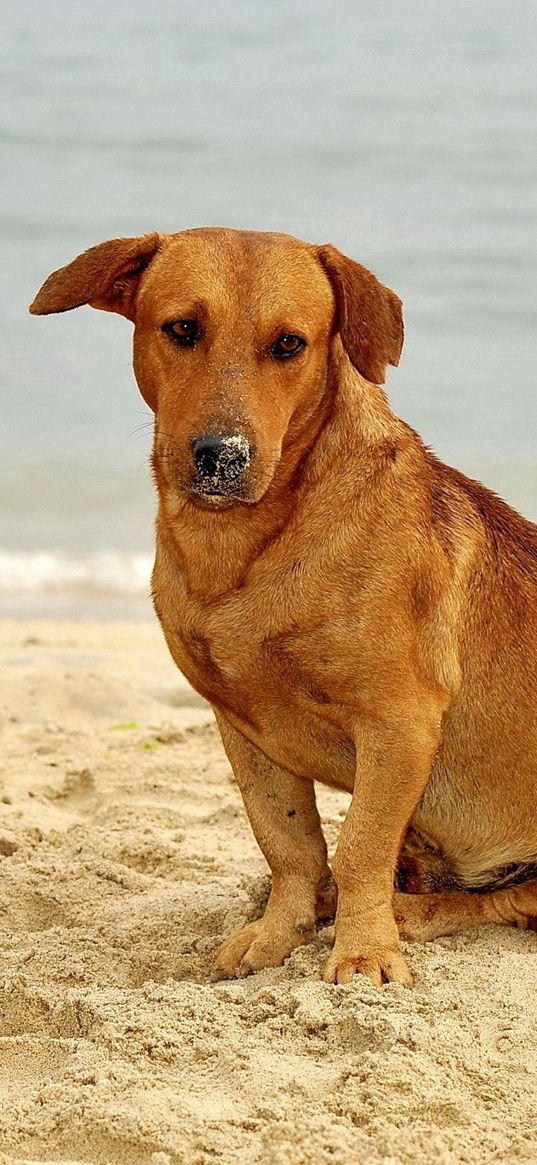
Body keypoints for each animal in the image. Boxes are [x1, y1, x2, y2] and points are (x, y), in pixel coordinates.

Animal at [30, 224, 535, 983]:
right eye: (183, 328)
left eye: (290, 344)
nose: (222, 456)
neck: (246, 548)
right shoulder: (243, 728)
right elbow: (290, 844)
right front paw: (280, 934)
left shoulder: (399, 723)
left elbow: (358, 848)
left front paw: (364, 950)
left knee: (502, 902)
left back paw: (411, 914)